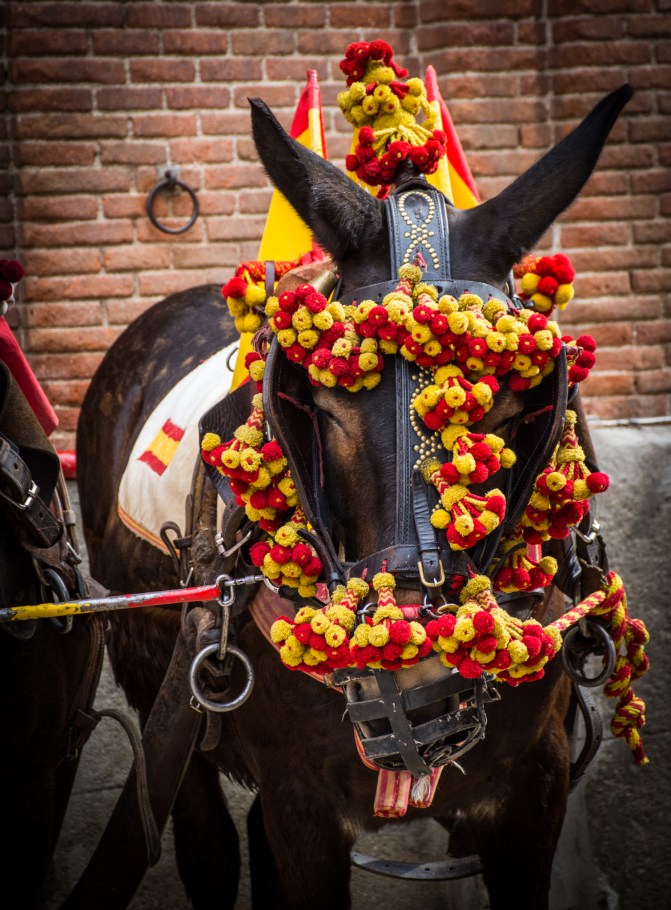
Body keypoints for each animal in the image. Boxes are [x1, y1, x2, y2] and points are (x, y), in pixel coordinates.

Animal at [74, 83, 634, 910]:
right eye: (325, 405)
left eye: (509, 406)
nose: (418, 684)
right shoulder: (299, 797)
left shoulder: (536, 787)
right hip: (158, 697)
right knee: (205, 841)